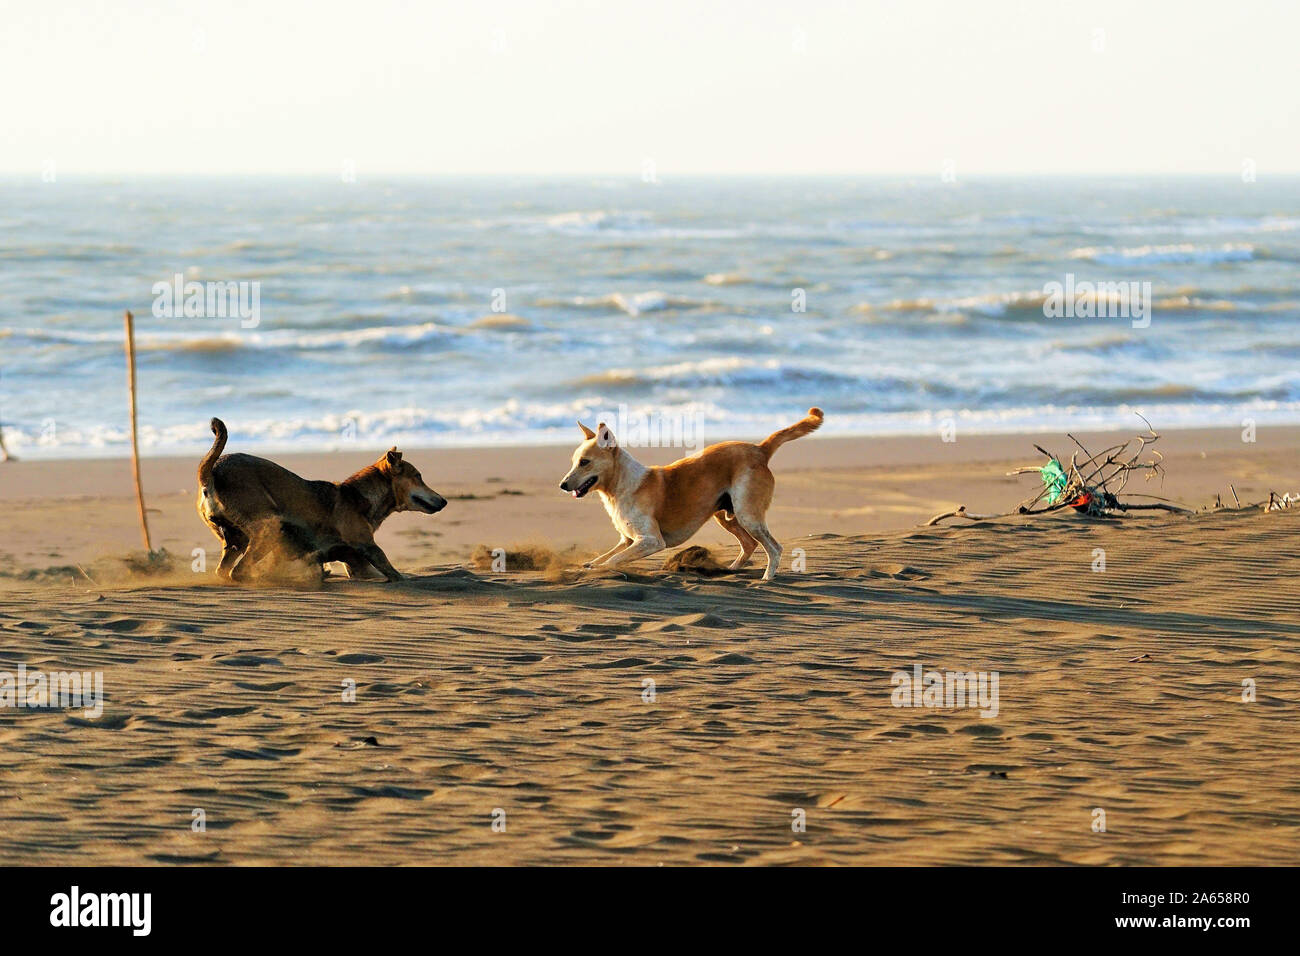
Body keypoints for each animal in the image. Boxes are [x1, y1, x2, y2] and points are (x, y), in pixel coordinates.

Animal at [197, 418, 447, 582]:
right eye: (418, 476)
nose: (444, 501)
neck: (357, 496)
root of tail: (211, 474)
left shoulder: (357, 563)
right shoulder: (367, 547)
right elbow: (394, 572)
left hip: (236, 539)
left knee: (225, 570)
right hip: (270, 526)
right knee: (238, 571)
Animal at [559, 408, 821, 580]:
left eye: (585, 462)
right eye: (573, 461)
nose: (562, 485)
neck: (621, 485)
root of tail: (759, 449)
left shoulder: (652, 541)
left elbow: (611, 560)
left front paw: (600, 569)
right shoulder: (627, 540)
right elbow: (601, 558)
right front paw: (581, 568)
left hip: (748, 515)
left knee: (774, 548)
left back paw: (766, 578)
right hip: (726, 515)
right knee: (749, 544)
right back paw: (730, 570)